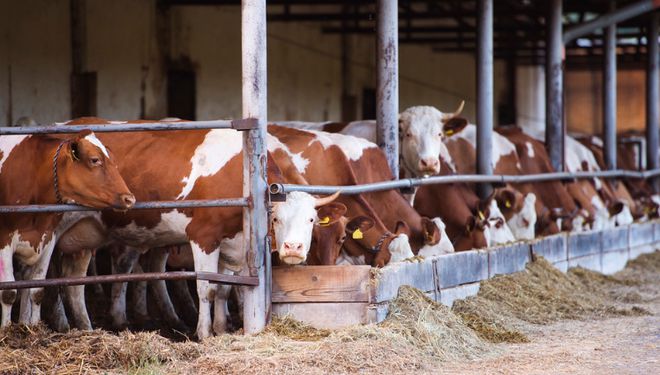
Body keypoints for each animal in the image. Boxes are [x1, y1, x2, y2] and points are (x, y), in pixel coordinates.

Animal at [0, 131, 134, 328]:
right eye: (94, 160)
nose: (129, 199)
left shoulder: (48, 238)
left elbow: (37, 291)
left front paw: (34, 327)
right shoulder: (4, 241)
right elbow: (8, 293)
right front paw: (6, 329)